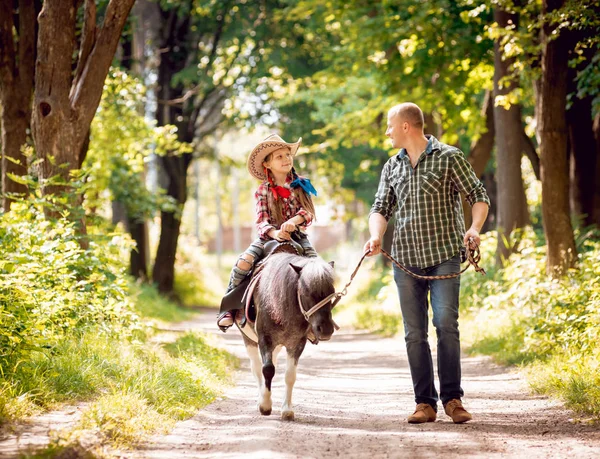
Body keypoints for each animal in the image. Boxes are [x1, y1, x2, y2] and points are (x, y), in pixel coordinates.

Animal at [236, 253, 338, 422]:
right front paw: (265, 405)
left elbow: (290, 375)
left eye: (332, 293)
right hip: (249, 340)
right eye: (306, 292)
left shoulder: (297, 343)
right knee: (256, 367)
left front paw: (287, 410)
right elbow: (267, 370)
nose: (326, 330)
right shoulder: (264, 340)